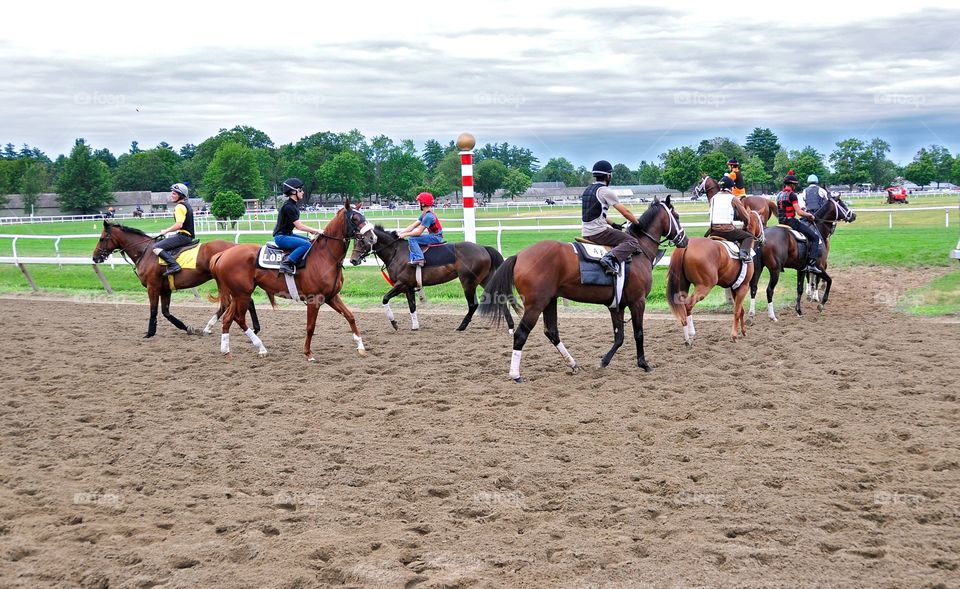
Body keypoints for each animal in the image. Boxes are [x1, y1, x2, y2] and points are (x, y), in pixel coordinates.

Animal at [92, 220, 260, 338]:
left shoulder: (153, 287)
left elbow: (153, 310)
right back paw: (254, 328)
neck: (146, 253)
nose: (94, 257)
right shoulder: (165, 290)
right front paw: (188, 328)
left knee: (228, 303)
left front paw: (150, 333)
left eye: (102, 238)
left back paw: (209, 327)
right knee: (245, 301)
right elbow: (166, 312)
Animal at [212, 200, 376, 360]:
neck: (325, 257)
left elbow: (350, 316)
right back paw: (260, 347)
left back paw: (227, 350)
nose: (372, 237)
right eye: (355, 218)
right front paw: (308, 353)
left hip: (238, 295)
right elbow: (310, 327)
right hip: (242, 294)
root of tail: (223, 254)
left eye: (363, 216)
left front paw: (361, 347)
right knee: (239, 318)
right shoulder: (314, 299)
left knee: (228, 318)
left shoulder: (332, 297)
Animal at [350, 225, 516, 334]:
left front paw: (394, 323)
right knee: (500, 299)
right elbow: (412, 306)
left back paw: (461, 326)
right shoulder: (408, 287)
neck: (397, 252)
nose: (353, 260)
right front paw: (415, 326)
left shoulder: (401, 284)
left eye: (362, 241)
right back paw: (511, 326)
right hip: (484, 279)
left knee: (473, 304)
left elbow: (385, 299)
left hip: (468, 282)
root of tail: (483, 248)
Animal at [476, 195, 688, 384]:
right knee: (521, 334)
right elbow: (638, 333)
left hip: (549, 301)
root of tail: (519, 255)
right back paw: (516, 375)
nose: (684, 240)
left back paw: (573, 363)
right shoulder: (638, 302)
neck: (638, 252)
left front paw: (603, 362)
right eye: (676, 216)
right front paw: (644, 364)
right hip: (535, 305)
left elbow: (619, 336)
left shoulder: (616, 306)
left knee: (552, 332)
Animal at [664, 201, 760, 342]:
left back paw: (688, 338)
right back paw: (691, 333)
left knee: (682, 305)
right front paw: (734, 335)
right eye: (759, 219)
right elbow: (737, 311)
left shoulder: (734, 287)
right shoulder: (743, 286)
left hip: (683, 284)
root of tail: (687, 246)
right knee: (688, 305)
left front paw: (743, 331)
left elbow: (740, 310)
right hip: (705, 286)